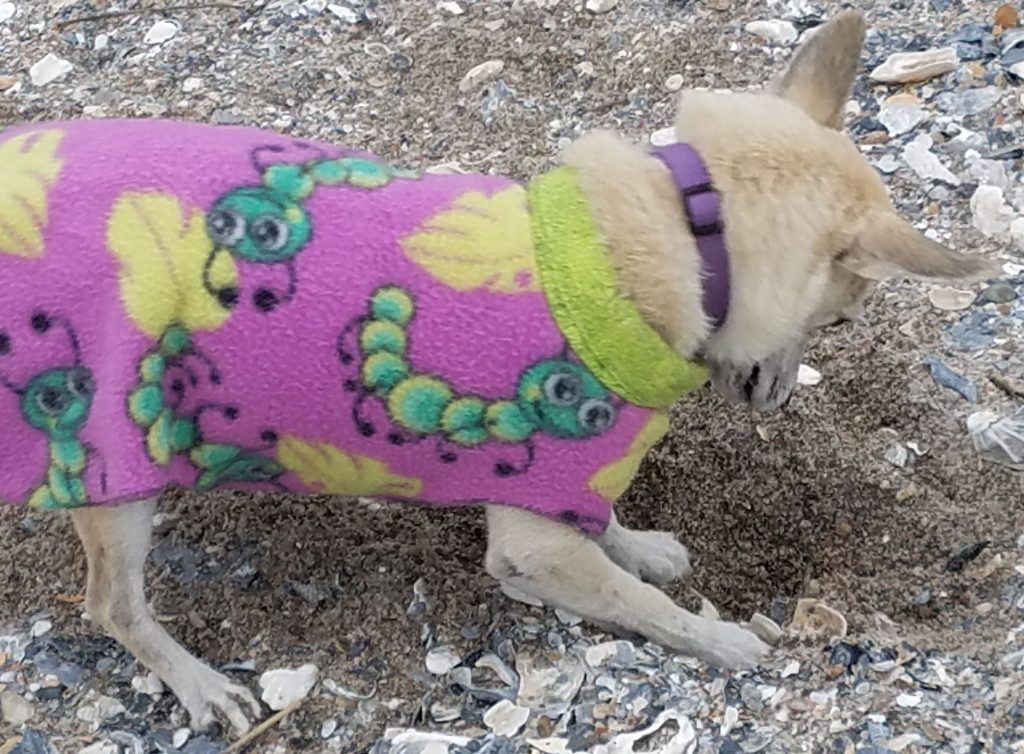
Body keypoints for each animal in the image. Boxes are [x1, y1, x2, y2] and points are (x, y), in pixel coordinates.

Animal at [0, 8, 991, 733]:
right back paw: (200, 684)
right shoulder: (535, 546)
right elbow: (628, 596)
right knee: (112, 605)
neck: (681, 227)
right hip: (105, 453)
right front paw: (716, 639)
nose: (779, 395)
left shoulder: (565, 481)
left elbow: (608, 525)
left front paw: (641, 542)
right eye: (841, 317)